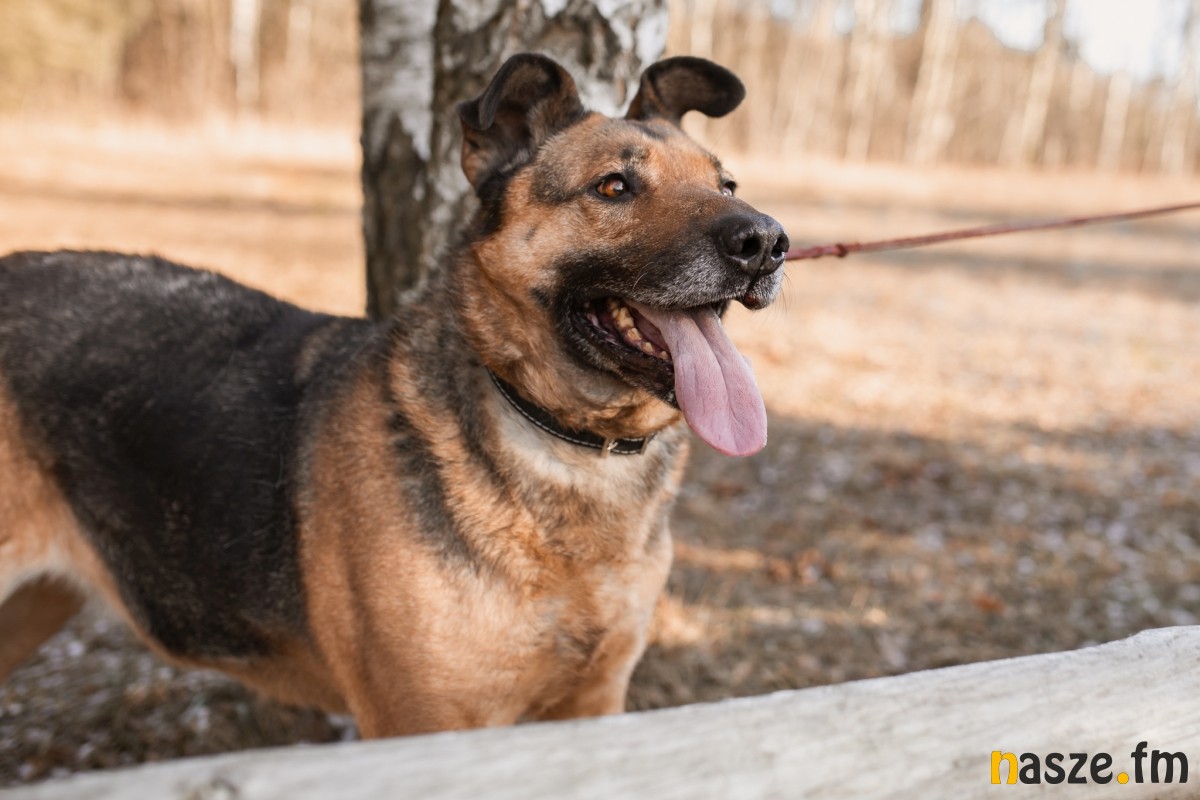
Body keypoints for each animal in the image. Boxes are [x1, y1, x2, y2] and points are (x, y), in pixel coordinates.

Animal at [0, 53, 787, 738]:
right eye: (614, 187)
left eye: (727, 185)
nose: (768, 241)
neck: (567, 444)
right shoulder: (421, 723)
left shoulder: (593, 703)